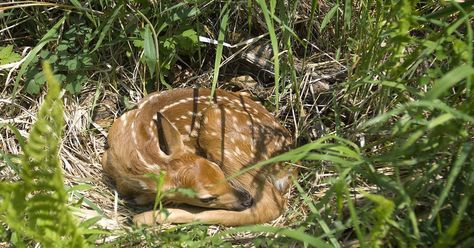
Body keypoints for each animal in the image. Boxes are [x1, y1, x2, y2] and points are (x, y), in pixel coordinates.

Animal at [103, 88, 296, 226]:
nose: (246, 199)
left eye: (218, 169)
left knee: (269, 206)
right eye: (207, 198)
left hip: (220, 129)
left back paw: (145, 218)